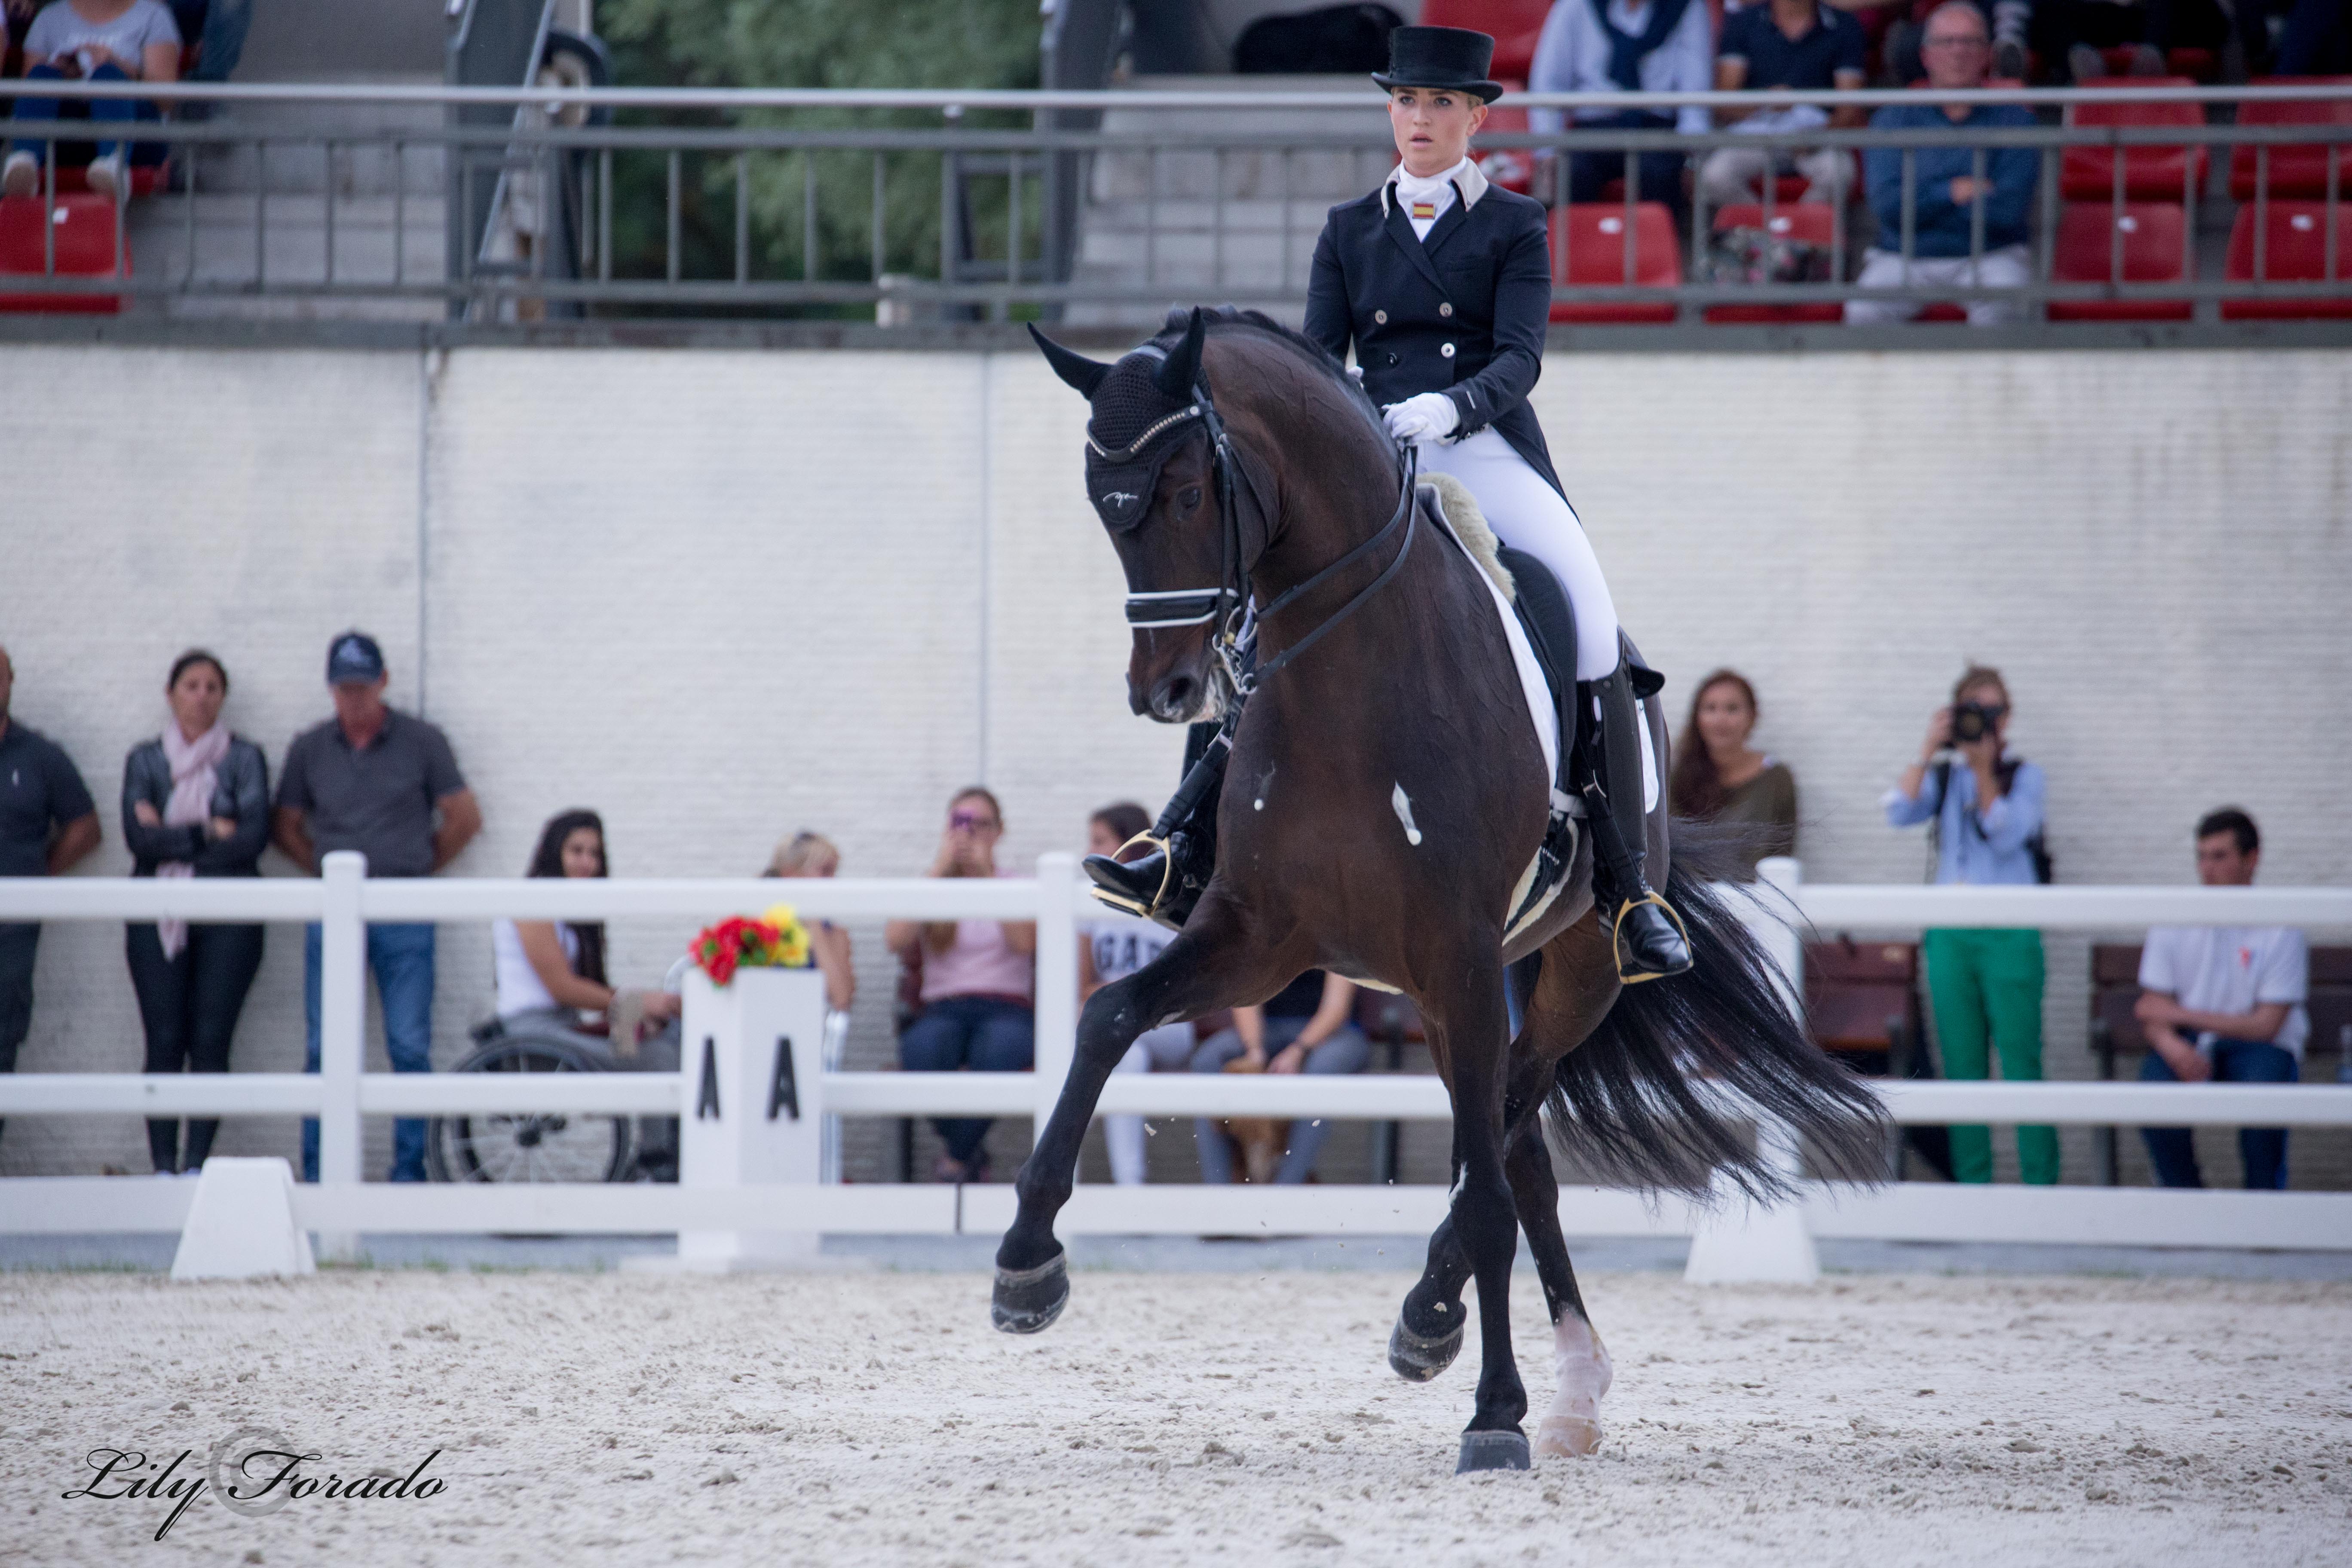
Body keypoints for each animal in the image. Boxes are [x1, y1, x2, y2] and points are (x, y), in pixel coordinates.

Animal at [1002, 303, 1881, 1476]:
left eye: (1187, 492)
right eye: (1105, 510)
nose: (1169, 692)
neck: (1349, 685)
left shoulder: (1453, 955)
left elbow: (1482, 1187)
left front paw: (1493, 1411)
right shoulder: (1258, 939)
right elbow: (1104, 1018)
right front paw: (1026, 1262)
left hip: (1563, 972)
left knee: (1501, 1138)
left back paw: (1476, 1339)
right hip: (1444, 993)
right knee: (1514, 1143)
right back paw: (1548, 1376)